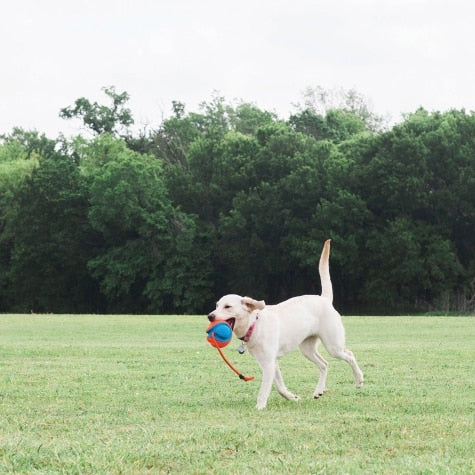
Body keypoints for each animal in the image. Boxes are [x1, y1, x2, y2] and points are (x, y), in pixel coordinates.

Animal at [207, 240, 364, 410]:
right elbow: (280, 387)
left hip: (333, 346)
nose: (210, 316)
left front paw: (259, 407)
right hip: (307, 349)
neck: (255, 325)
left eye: (227, 307)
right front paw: (292, 397)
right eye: (216, 305)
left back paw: (359, 379)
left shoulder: (269, 364)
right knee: (324, 364)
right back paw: (318, 391)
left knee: (350, 355)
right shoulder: (271, 363)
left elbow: (264, 390)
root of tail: (324, 298)